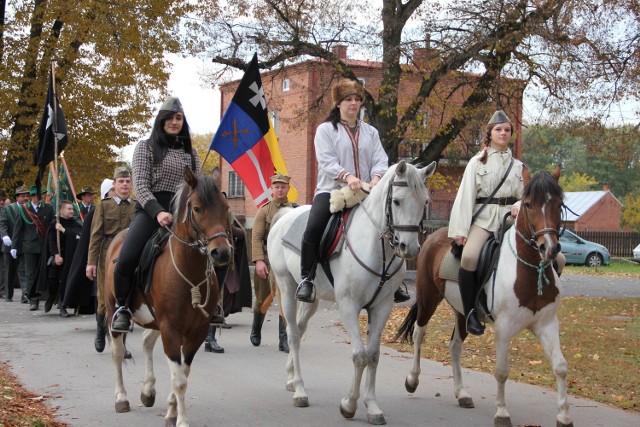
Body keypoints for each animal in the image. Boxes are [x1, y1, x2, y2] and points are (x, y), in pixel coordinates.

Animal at [101, 168, 229, 427]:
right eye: (197, 208)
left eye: (225, 207)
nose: (221, 253)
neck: (188, 272)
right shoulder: (170, 328)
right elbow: (179, 379)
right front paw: (181, 420)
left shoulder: (197, 331)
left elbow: (183, 372)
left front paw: (171, 410)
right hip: (113, 312)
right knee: (117, 353)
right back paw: (121, 398)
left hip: (154, 319)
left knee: (146, 343)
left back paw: (148, 391)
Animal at [268, 160, 438, 424]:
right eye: (397, 201)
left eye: (425, 202)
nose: (409, 248)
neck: (374, 247)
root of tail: (285, 216)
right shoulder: (349, 306)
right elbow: (359, 355)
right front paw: (349, 404)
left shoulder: (381, 307)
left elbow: (373, 355)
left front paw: (372, 407)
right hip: (286, 288)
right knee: (294, 334)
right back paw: (299, 390)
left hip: (311, 299)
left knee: (301, 327)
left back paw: (290, 378)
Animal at [392, 169, 572, 426]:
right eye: (529, 204)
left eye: (559, 204)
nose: (549, 248)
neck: (528, 271)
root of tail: (434, 237)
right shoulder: (504, 328)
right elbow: (501, 371)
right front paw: (502, 413)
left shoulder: (547, 324)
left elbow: (560, 366)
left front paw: (564, 416)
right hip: (428, 298)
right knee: (419, 334)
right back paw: (412, 380)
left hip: (462, 313)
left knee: (455, 347)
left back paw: (462, 394)